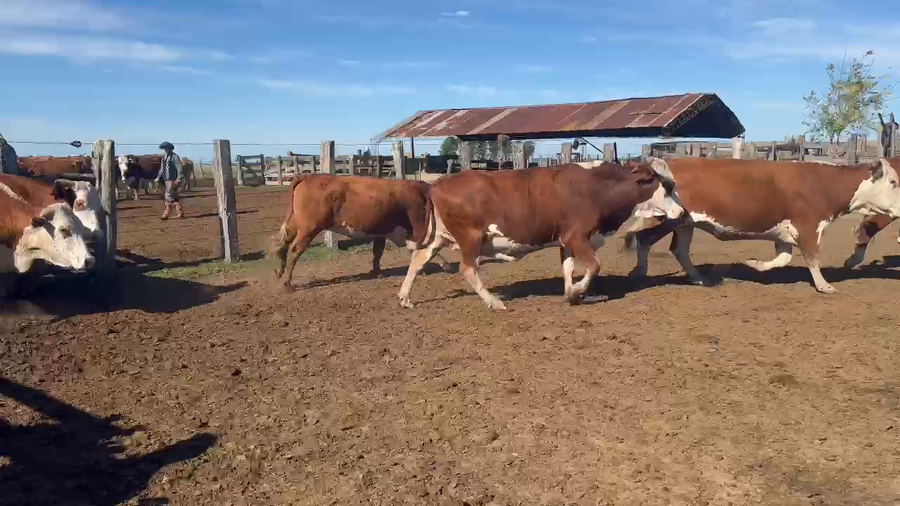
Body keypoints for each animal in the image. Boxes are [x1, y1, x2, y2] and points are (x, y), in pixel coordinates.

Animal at [272, 174, 453, 291]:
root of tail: (307, 177)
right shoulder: (417, 229)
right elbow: (425, 248)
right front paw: (443, 264)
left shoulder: (381, 232)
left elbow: (377, 252)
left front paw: (377, 272)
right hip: (308, 229)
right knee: (294, 250)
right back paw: (288, 284)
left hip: (297, 225)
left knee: (282, 245)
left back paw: (279, 272)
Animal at [396, 160, 684, 310]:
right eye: (667, 187)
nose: (681, 211)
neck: (597, 189)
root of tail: (438, 182)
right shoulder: (577, 236)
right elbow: (593, 266)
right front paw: (578, 291)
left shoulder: (566, 240)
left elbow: (568, 267)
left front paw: (570, 292)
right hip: (471, 237)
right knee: (467, 268)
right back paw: (493, 301)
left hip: (440, 236)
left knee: (419, 259)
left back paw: (405, 297)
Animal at [624, 157, 900, 294]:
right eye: (894, 182)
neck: (824, 184)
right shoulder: (809, 227)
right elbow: (812, 258)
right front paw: (824, 285)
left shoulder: (783, 233)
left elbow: (783, 259)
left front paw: (754, 264)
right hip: (670, 218)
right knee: (645, 239)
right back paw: (638, 272)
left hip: (685, 223)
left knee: (679, 250)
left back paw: (699, 279)